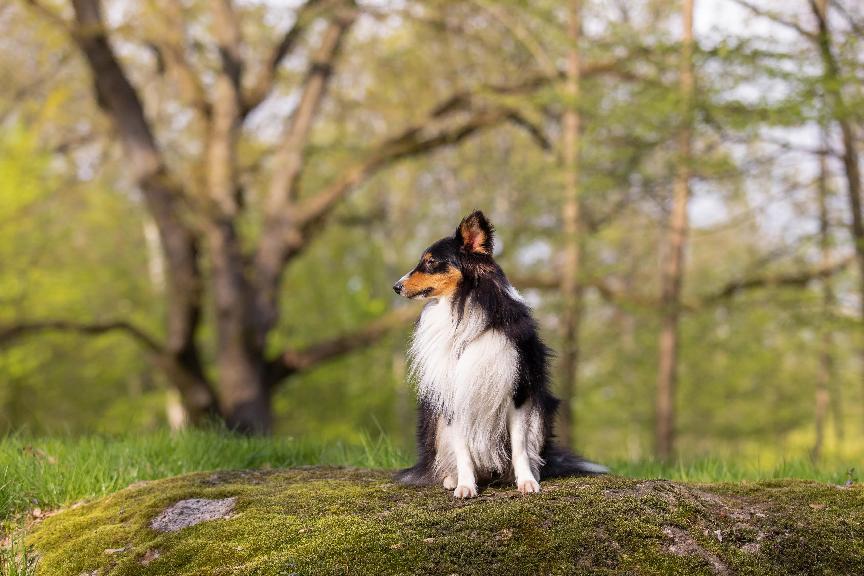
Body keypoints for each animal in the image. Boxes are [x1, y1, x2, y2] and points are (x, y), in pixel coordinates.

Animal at [394, 209, 608, 498]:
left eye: (430, 262)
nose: (396, 286)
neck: (464, 309)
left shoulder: (519, 391)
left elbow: (519, 446)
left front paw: (526, 481)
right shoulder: (455, 393)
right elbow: (462, 450)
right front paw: (465, 485)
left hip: (541, 408)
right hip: (435, 420)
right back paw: (451, 477)